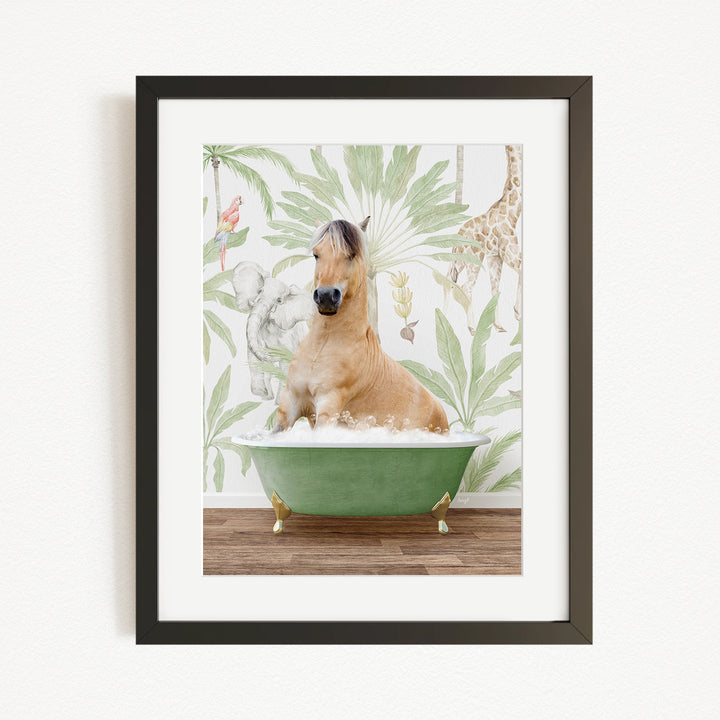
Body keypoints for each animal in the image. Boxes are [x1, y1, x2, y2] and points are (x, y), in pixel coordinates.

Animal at [275, 217, 449, 433]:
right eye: (316, 254)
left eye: (351, 255)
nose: (326, 297)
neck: (322, 346)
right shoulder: (290, 403)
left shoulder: (328, 407)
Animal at [446, 145, 522, 334]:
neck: (513, 212)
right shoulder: (509, 251)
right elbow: (520, 271)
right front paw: (517, 312)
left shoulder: (495, 257)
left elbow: (495, 289)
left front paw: (499, 324)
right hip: (473, 261)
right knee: (466, 287)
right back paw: (472, 327)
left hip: (460, 262)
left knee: (449, 282)